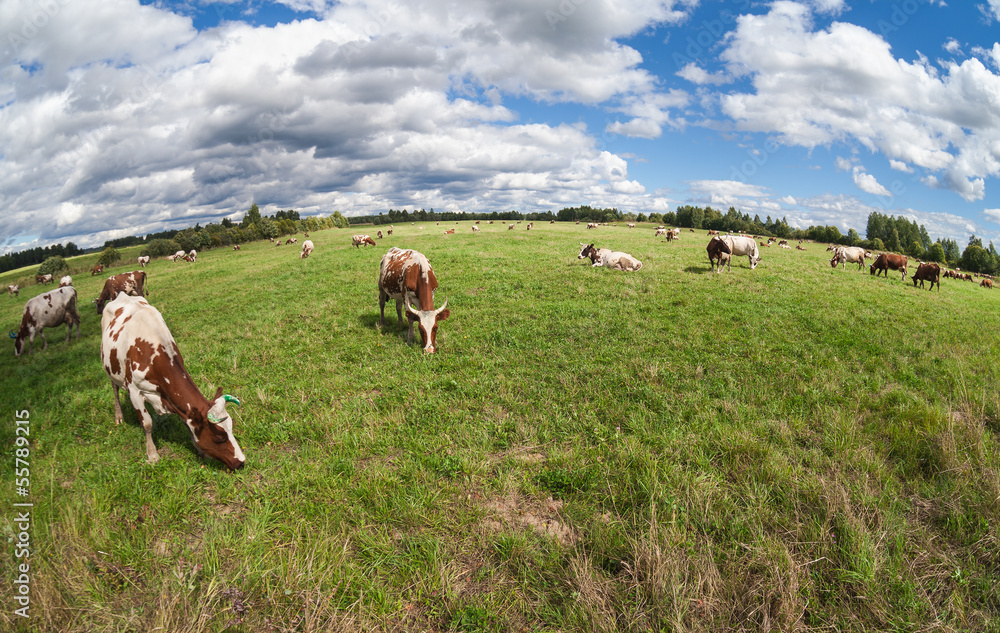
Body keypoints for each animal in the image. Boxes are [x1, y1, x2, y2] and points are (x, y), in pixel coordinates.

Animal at [99, 292, 246, 470]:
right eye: (220, 438)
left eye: (231, 428)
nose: (241, 462)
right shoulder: (134, 391)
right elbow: (147, 424)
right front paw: (152, 455)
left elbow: (186, 422)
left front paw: (199, 450)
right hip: (110, 369)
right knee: (114, 389)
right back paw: (119, 416)